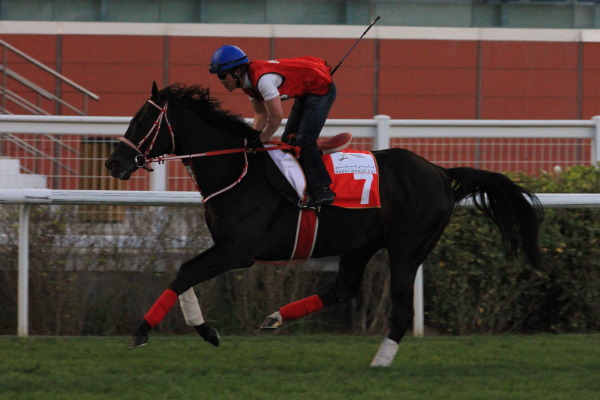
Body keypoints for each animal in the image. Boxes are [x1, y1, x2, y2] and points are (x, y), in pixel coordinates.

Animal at [105, 83, 540, 368]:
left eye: (142, 120)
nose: (113, 163)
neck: (239, 170)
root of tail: (439, 172)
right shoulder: (225, 246)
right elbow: (186, 274)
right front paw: (206, 330)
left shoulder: (238, 250)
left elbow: (184, 273)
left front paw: (143, 330)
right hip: (362, 244)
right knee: (344, 287)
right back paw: (276, 318)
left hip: (407, 248)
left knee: (400, 309)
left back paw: (379, 363)